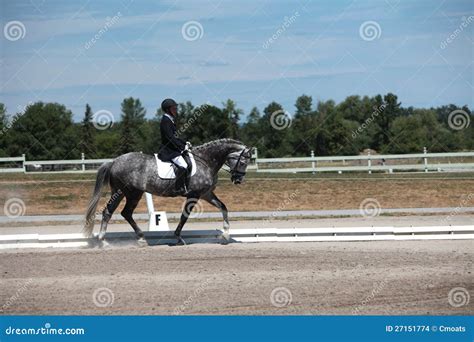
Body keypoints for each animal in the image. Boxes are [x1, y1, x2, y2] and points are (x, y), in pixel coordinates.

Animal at [83, 138, 252, 244]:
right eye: (243, 162)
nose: (238, 180)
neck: (206, 161)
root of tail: (114, 161)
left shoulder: (205, 194)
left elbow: (223, 207)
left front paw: (225, 234)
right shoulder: (194, 195)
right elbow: (184, 216)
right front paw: (178, 238)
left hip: (125, 193)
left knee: (118, 212)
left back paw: (132, 238)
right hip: (129, 193)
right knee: (117, 212)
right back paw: (107, 241)